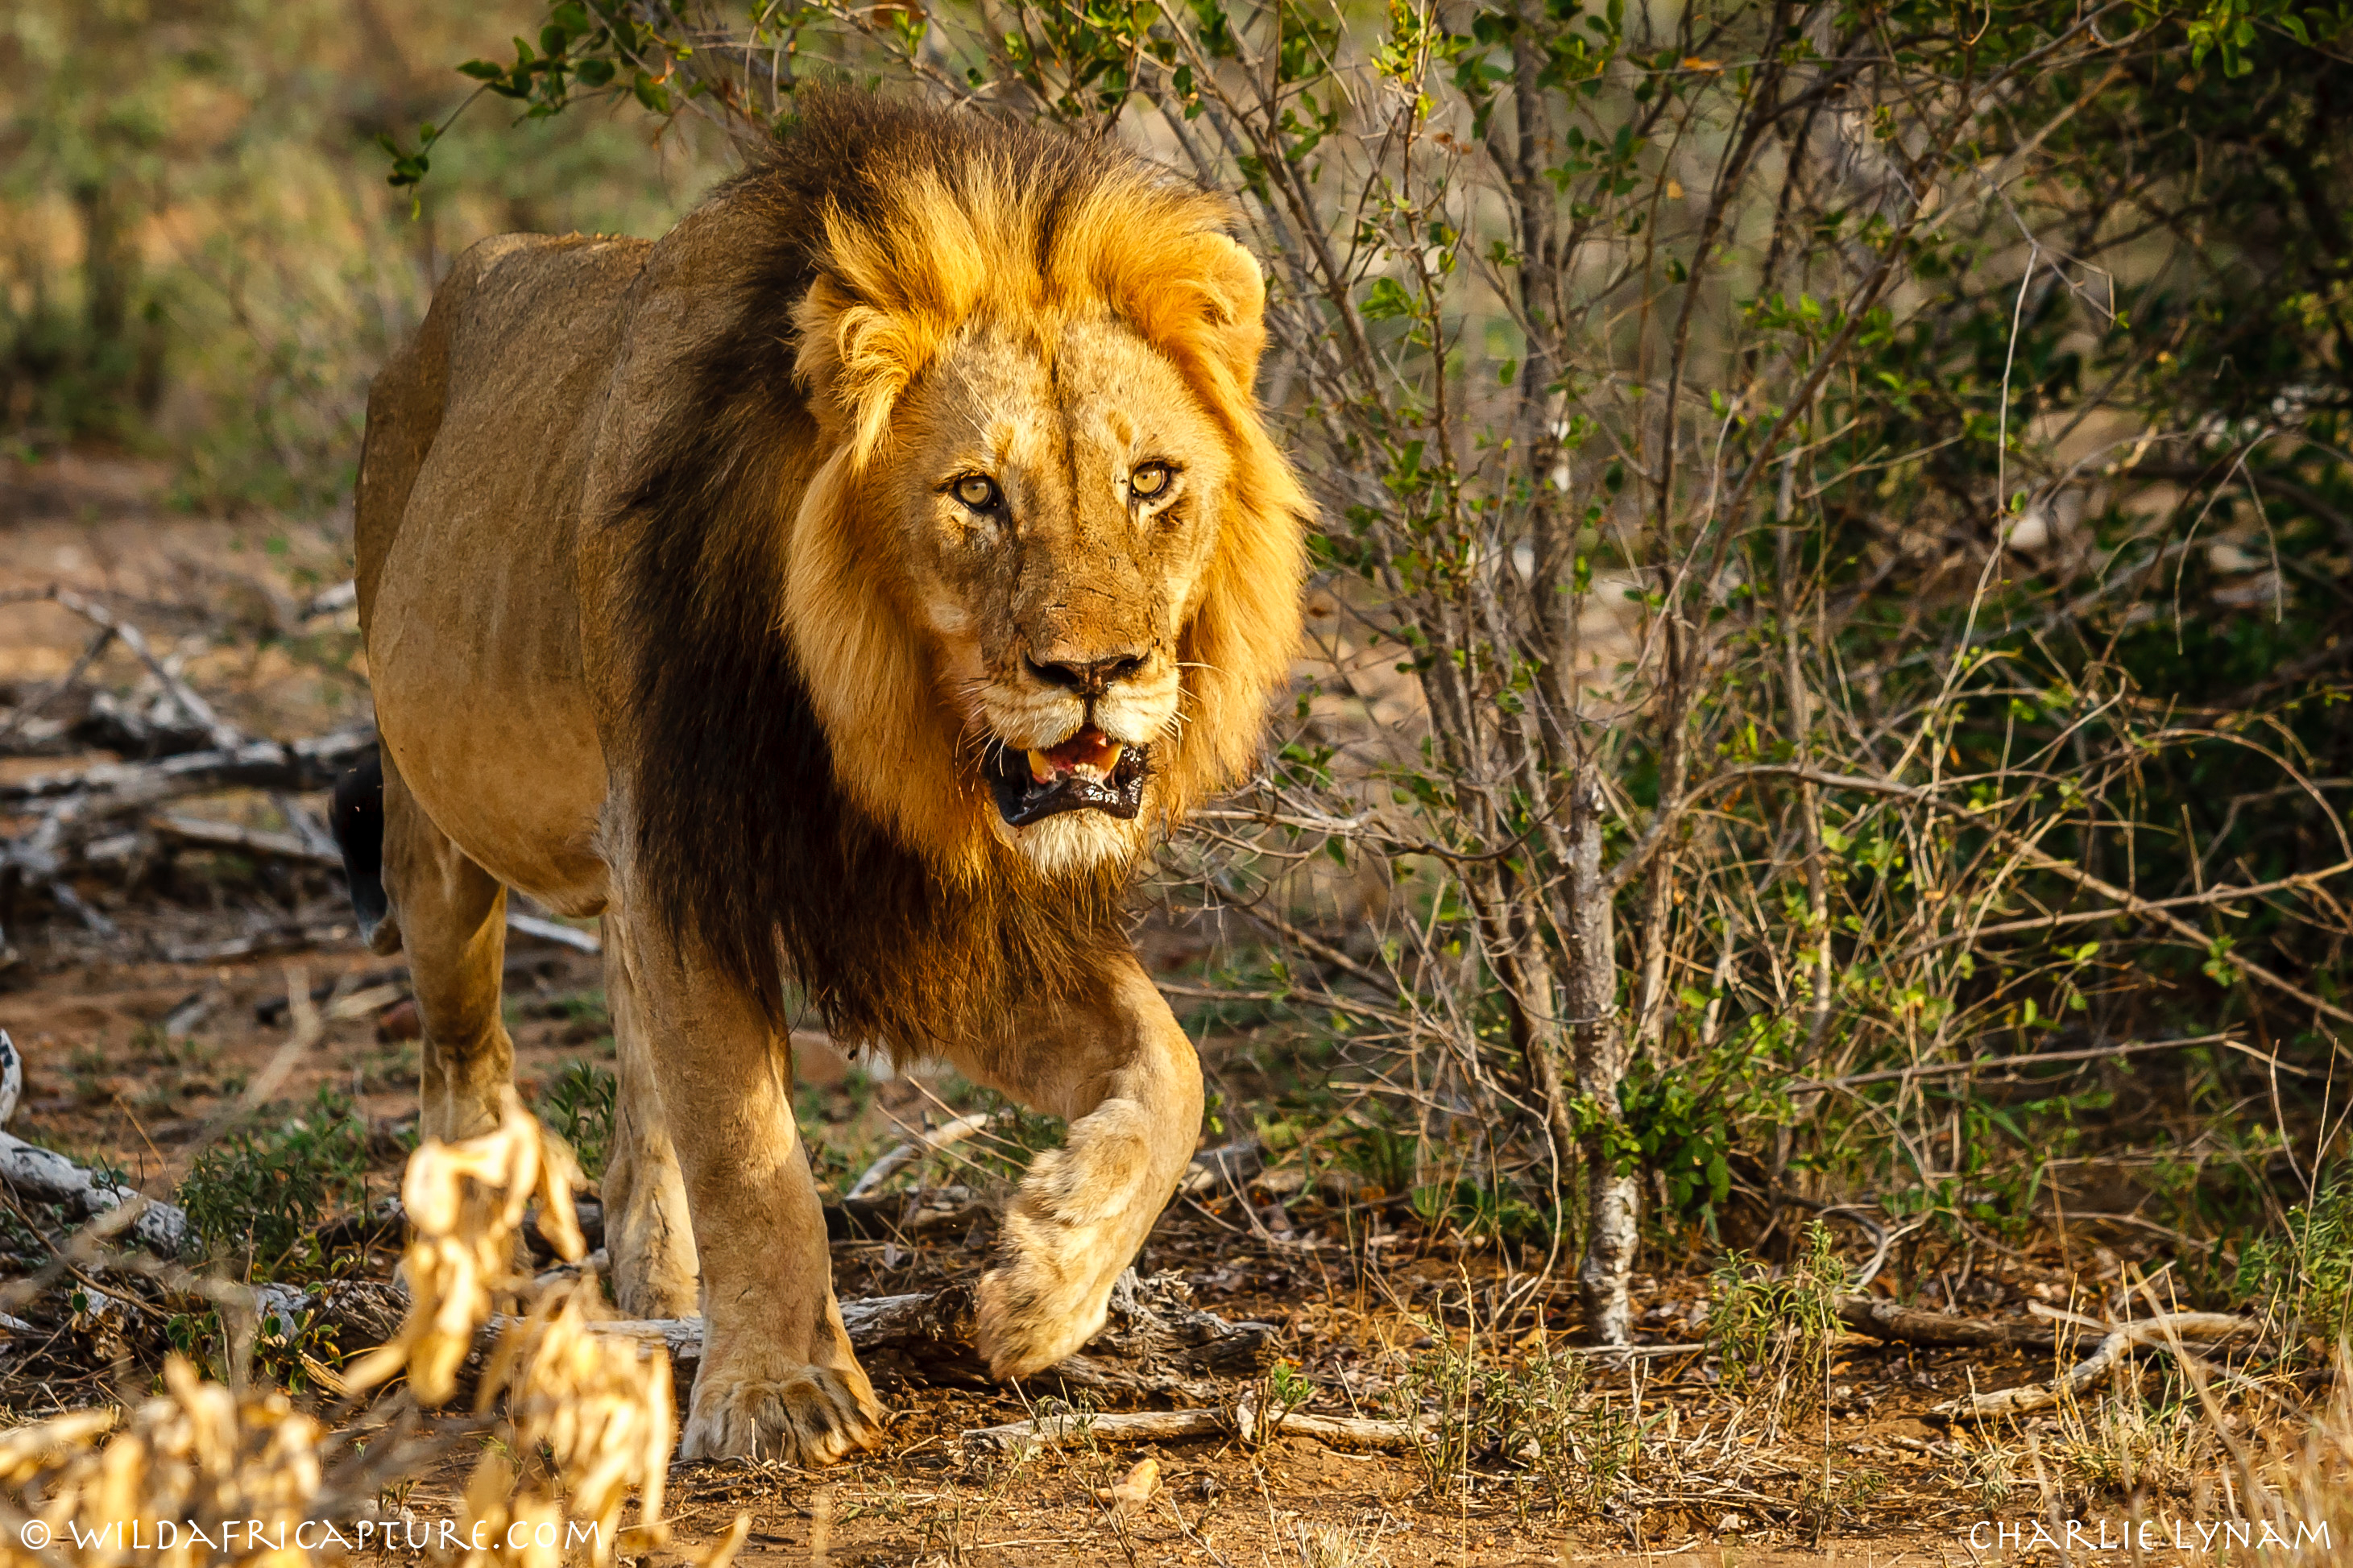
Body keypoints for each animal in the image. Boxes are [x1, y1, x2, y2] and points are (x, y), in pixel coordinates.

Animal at [343, 92, 1317, 1467]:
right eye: (976, 493)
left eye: (1151, 481)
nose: (1094, 671)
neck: (878, 721)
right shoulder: (693, 842)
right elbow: (750, 1144)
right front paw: (779, 1391)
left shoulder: (917, 903)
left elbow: (1172, 1065)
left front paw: (1044, 1284)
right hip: (436, 828)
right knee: (463, 1054)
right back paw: (467, 1286)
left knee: (630, 1063)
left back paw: (658, 1285)